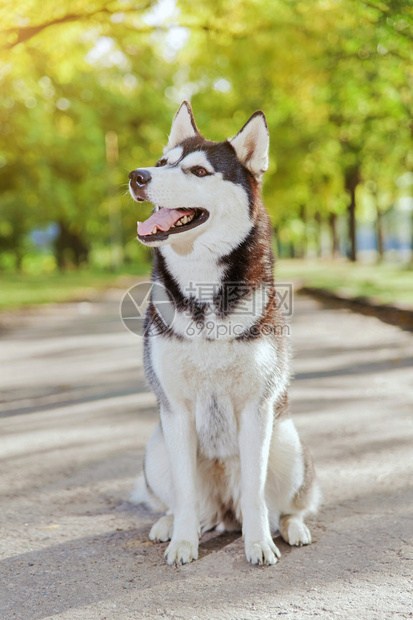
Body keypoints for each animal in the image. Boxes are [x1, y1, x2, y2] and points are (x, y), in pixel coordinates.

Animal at [128, 103, 318, 568]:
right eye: (162, 162)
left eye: (198, 171)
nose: (137, 176)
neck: (201, 286)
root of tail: (224, 514)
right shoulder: (175, 411)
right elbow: (185, 492)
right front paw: (182, 542)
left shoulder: (256, 408)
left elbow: (255, 492)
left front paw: (259, 544)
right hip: (156, 447)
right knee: (188, 505)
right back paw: (170, 524)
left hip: (288, 441)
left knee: (286, 504)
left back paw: (292, 527)